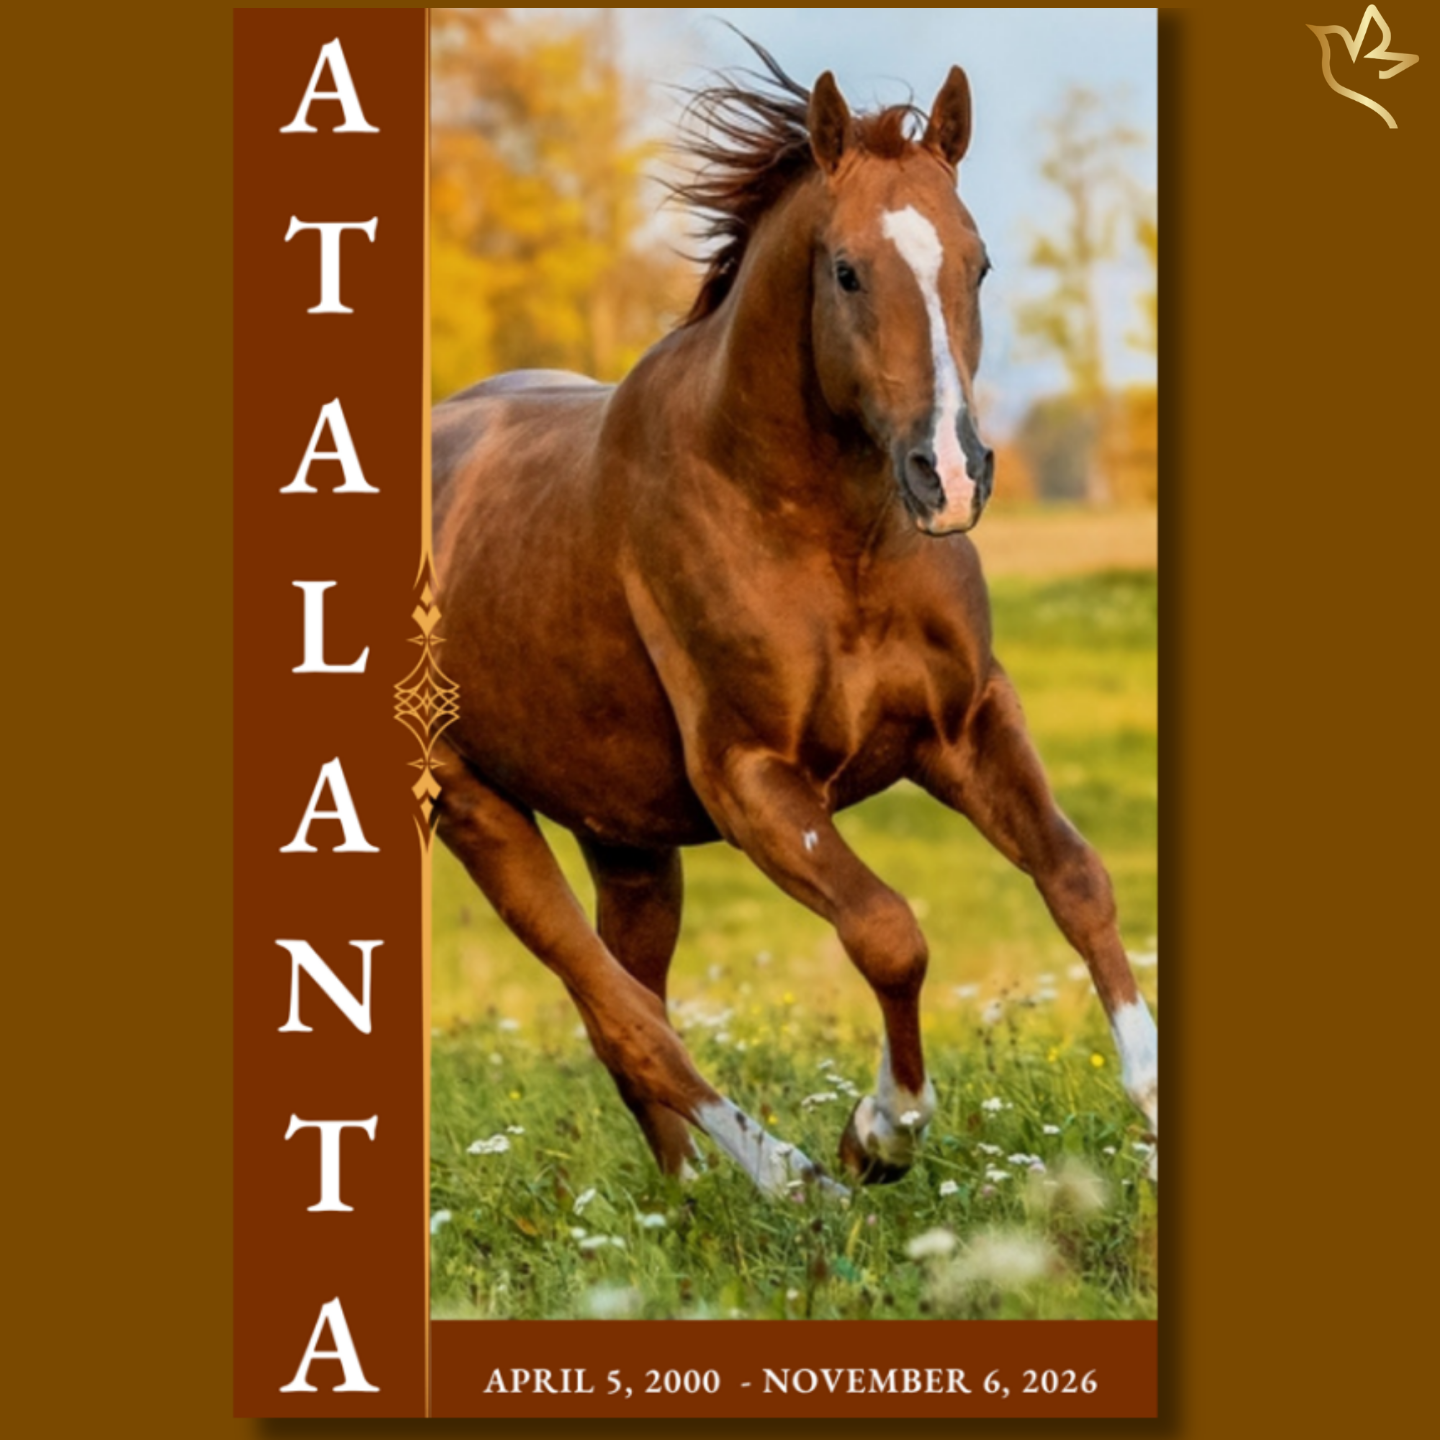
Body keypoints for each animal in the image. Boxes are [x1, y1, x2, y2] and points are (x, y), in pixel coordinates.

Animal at [431, 46, 1158, 1194]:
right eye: (847, 271)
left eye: (979, 263)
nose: (951, 474)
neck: (828, 538)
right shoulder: (755, 783)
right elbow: (888, 932)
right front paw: (878, 1133)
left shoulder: (965, 726)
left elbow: (1076, 877)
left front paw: (1157, 1112)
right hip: (477, 812)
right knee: (623, 1013)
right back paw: (787, 1178)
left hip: (625, 841)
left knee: (627, 1010)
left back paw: (689, 1198)